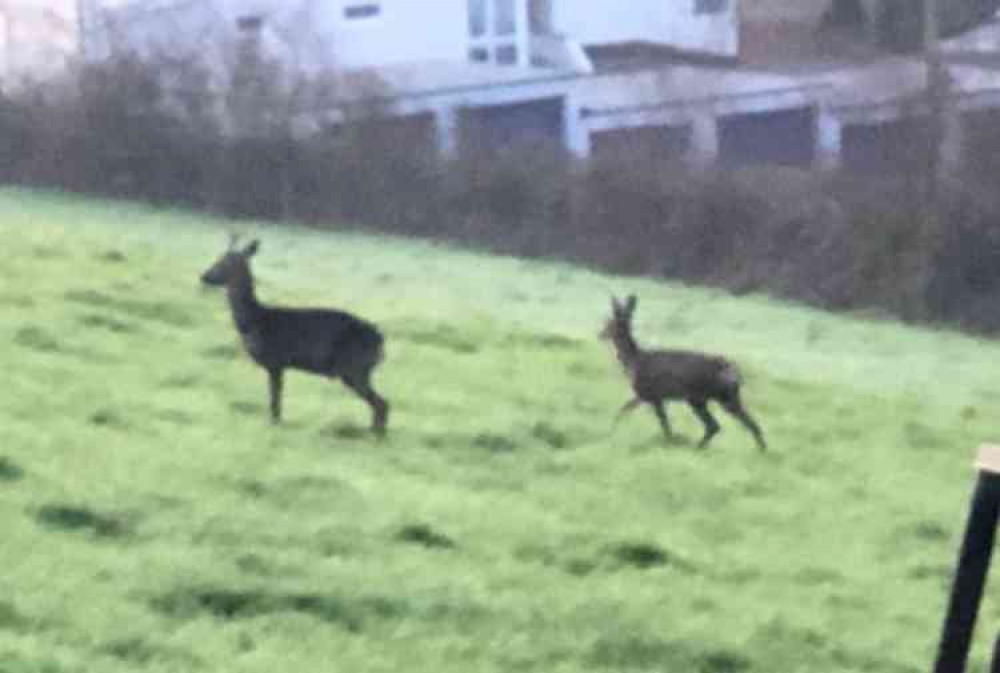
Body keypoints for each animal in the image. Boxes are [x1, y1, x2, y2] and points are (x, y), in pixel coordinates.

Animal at [198, 236, 386, 436]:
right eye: (219, 258)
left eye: (227, 262)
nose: (204, 276)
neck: (256, 320)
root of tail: (380, 339)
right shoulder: (279, 364)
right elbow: (276, 397)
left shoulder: (275, 361)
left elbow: (274, 398)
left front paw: (274, 423)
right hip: (358, 369)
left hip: (354, 367)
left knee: (382, 403)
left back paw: (376, 435)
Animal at [600, 294, 764, 452]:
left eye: (610, 323)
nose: (600, 334)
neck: (635, 361)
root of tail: (736, 372)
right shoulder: (653, 396)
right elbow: (650, 418)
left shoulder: (649, 393)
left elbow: (633, 413)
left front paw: (612, 431)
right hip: (710, 397)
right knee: (723, 424)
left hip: (710, 396)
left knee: (724, 424)